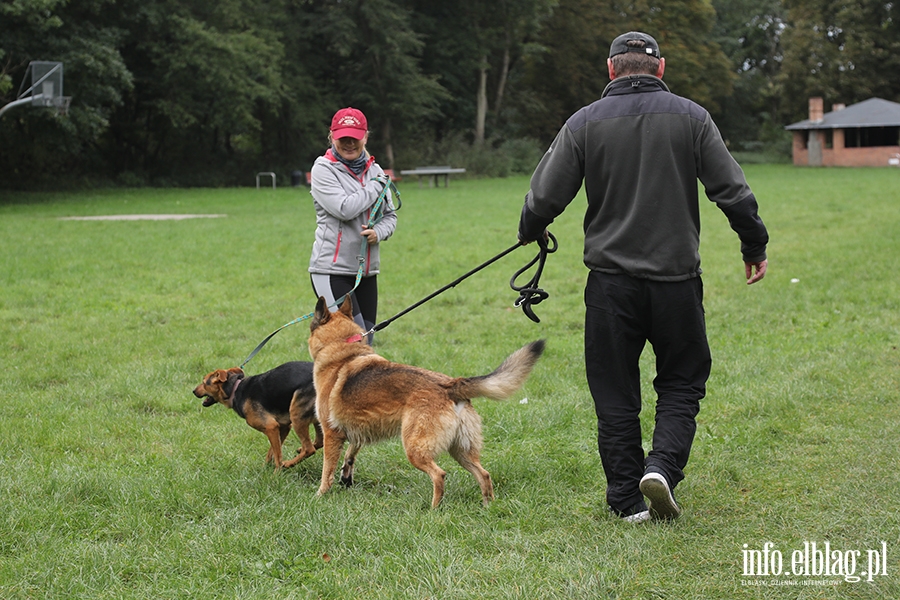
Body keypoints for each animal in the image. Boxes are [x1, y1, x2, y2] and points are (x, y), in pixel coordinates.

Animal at [193, 364, 324, 472]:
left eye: (204, 382)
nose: (193, 391)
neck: (234, 389)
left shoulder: (271, 427)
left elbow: (277, 455)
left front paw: (276, 474)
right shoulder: (282, 427)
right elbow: (272, 451)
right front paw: (264, 469)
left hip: (297, 415)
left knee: (309, 449)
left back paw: (288, 463)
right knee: (319, 442)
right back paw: (298, 452)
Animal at [306, 296, 544, 506]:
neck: (342, 348)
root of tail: (450, 386)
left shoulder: (331, 435)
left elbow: (327, 470)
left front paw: (320, 496)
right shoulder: (357, 431)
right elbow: (351, 453)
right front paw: (346, 476)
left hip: (415, 449)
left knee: (440, 475)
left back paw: (433, 510)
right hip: (461, 451)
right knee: (483, 474)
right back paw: (488, 507)